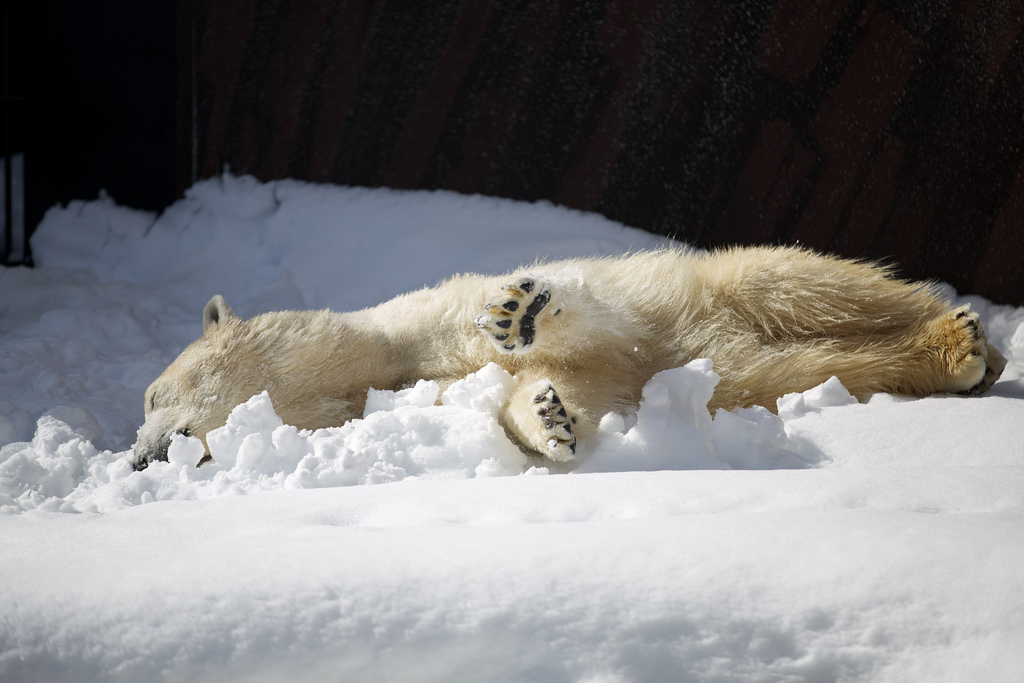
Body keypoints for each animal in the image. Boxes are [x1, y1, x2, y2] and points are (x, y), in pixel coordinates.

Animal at [134, 246, 1007, 471]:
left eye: (148, 394)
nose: (143, 457)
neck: (377, 365)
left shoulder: (428, 318)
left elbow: (594, 321)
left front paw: (520, 313)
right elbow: (563, 393)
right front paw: (552, 420)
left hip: (735, 279)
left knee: (806, 282)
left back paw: (969, 339)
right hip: (781, 371)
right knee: (825, 367)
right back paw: (955, 361)